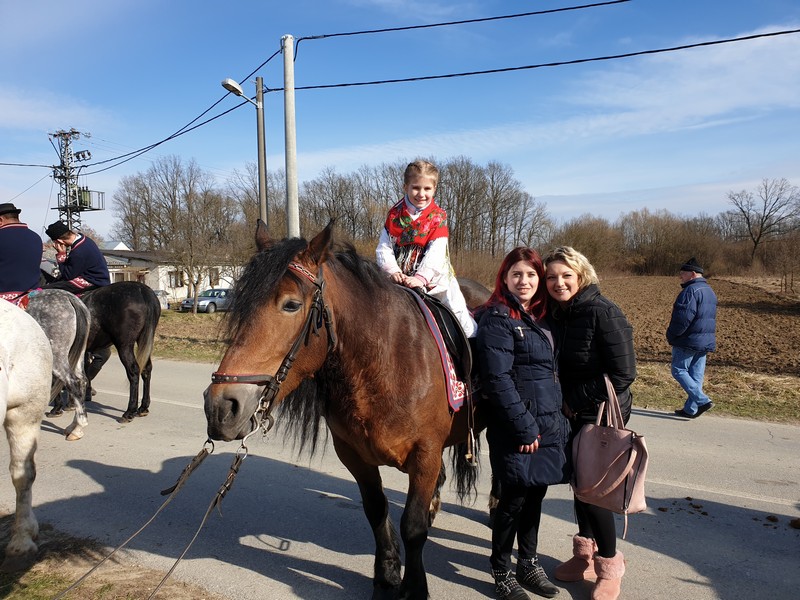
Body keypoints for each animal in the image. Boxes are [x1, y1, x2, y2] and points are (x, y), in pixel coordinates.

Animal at [25, 290, 91, 441]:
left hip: (57, 356)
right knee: (82, 381)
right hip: (78, 356)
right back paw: (74, 426)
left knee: (73, 382)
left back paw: (78, 427)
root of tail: (70, 298)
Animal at [204, 221, 481, 600]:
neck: (388, 361)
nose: (220, 406)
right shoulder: (354, 455)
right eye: (242, 305)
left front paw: (414, 588)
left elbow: (412, 526)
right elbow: (377, 510)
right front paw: (387, 576)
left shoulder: (425, 454)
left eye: (291, 305)